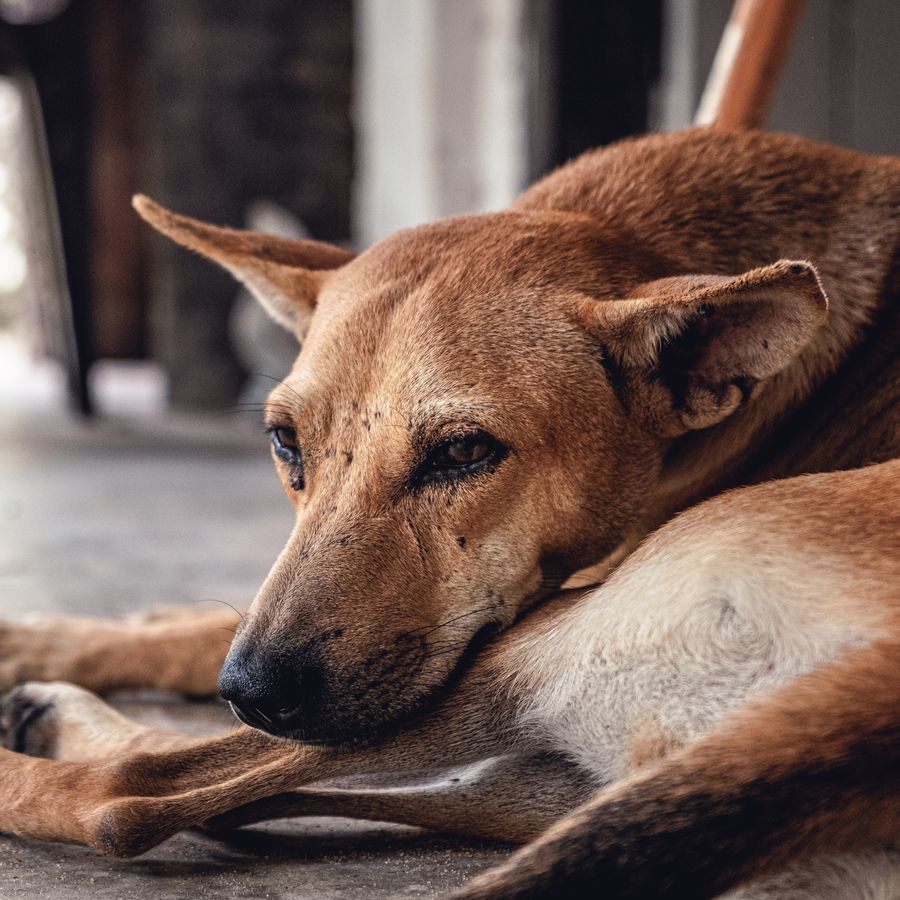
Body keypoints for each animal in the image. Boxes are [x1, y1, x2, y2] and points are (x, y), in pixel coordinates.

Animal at [0, 128, 896, 900]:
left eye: (464, 452)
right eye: (285, 440)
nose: (251, 691)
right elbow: (197, 632)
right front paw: (77, 631)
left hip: (519, 656)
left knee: (133, 796)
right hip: (541, 775)